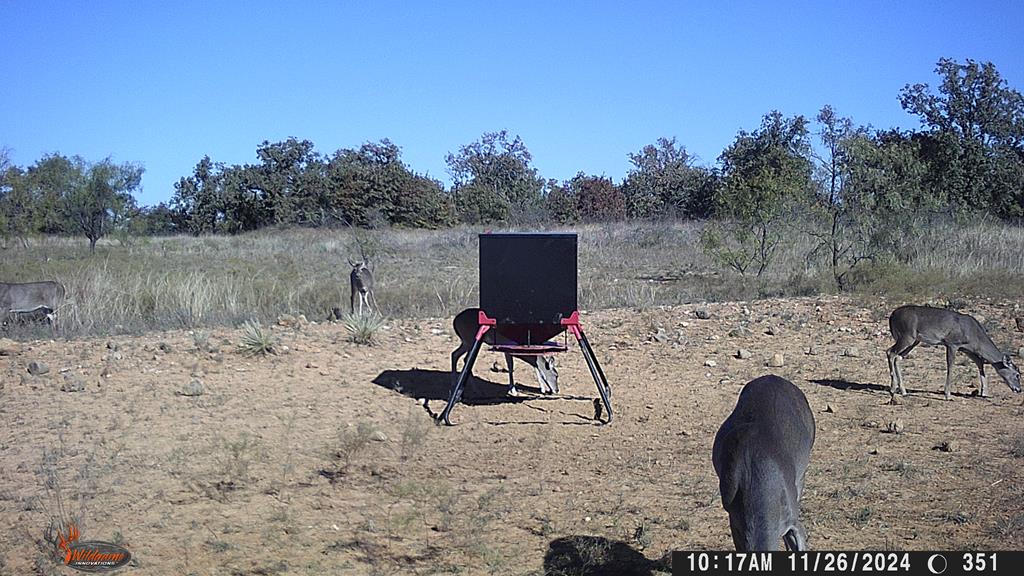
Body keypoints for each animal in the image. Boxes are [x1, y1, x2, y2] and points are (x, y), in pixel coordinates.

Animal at [884, 305, 1019, 399]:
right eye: (1018, 374)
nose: (1019, 389)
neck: (975, 334)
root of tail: (892, 316)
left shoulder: (967, 349)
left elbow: (979, 362)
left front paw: (984, 392)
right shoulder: (952, 343)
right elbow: (951, 365)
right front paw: (947, 394)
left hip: (914, 341)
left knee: (896, 356)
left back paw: (902, 391)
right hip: (907, 336)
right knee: (891, 352)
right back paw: (893, 388)